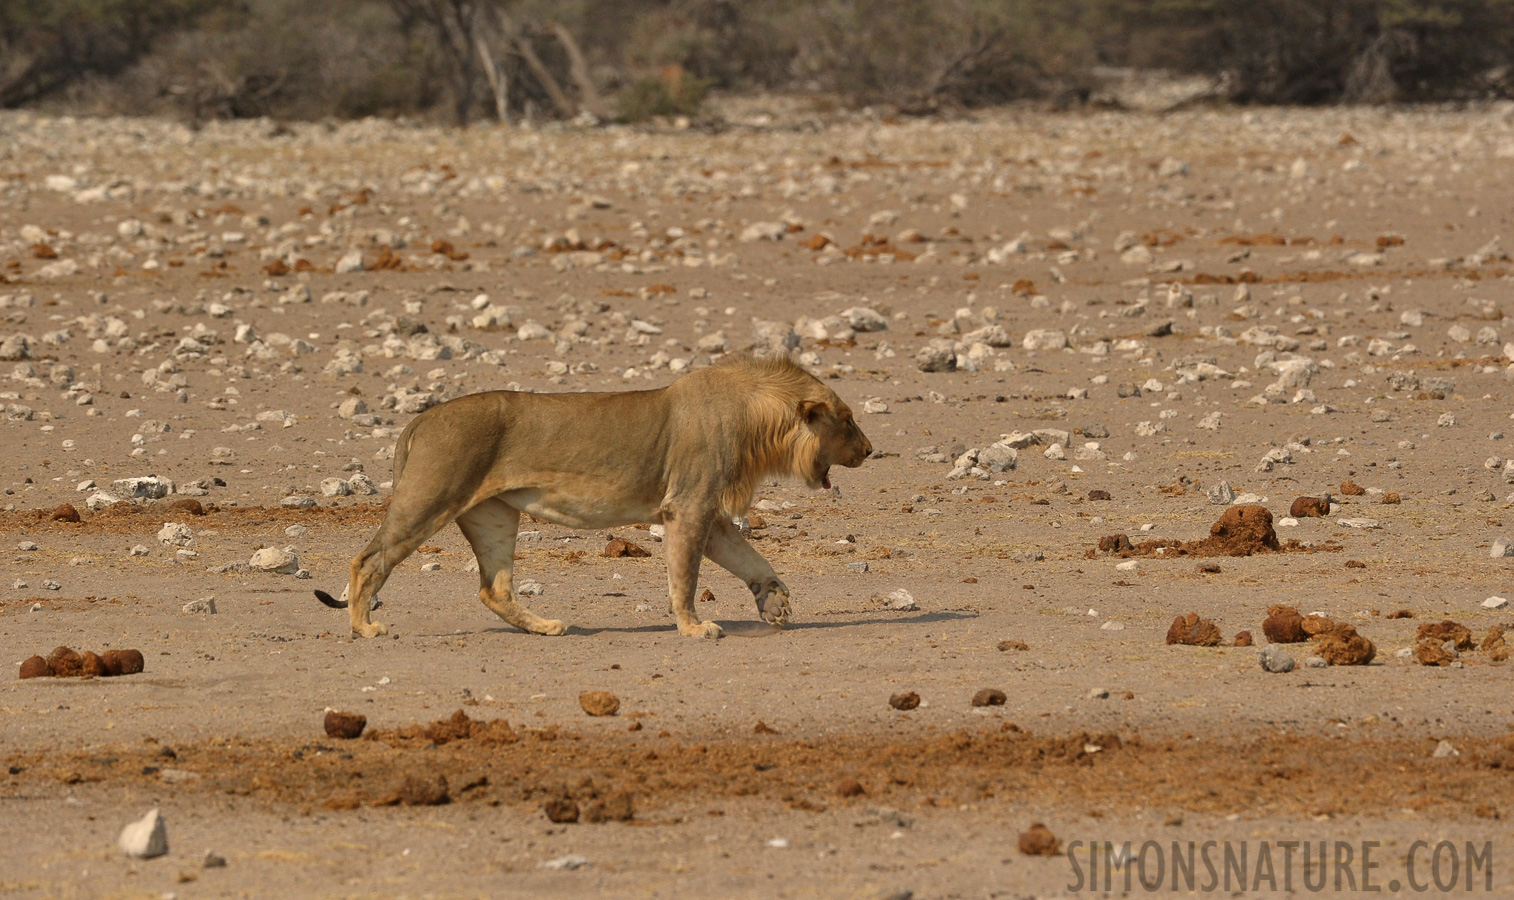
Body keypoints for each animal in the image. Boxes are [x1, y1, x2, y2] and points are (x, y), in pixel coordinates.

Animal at [313, 354, 872, 633]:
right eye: (847, 421)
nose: (870, 450)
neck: (757, 422)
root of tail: (421, 419)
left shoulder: (705, 513)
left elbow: (752, 559)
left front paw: (774, 603)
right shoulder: (687, 507)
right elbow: (685, 579)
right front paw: (694, 628)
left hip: (493, 517)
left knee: (494, 588)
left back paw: (546, 627)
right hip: (429, 497)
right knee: (367, 561)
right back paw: (365, 628)